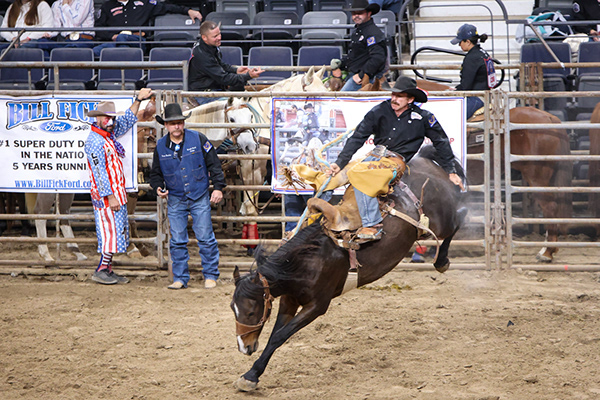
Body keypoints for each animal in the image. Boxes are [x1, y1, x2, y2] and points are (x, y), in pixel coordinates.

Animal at [227, 150, 466, 390]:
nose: (244, 347)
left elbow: (280, 336)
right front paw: (252, 374)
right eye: (233, 309)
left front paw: (251, 375)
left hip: (442, 218)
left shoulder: (317, 305)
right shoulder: (289, 300)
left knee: (459, 218)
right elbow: (275, 335)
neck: (306, 259)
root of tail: (425, 160)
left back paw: (442, 260)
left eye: (250, 312)